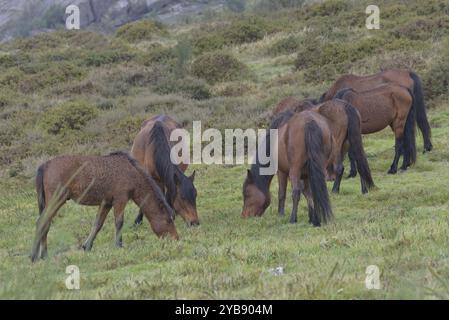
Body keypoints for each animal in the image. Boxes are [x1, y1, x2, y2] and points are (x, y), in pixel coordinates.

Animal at [30, 152, 178, 262]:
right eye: (168, 220)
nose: (176, 239)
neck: (132, 173)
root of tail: (45, 165)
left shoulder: (106, 203)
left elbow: (97, 224)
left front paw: (87, 246)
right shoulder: (120, 200)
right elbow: (119, 222)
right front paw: (118, 245)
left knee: (45, 223)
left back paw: (41, 255)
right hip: (56, 200)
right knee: (42, 222)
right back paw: (36, 256)